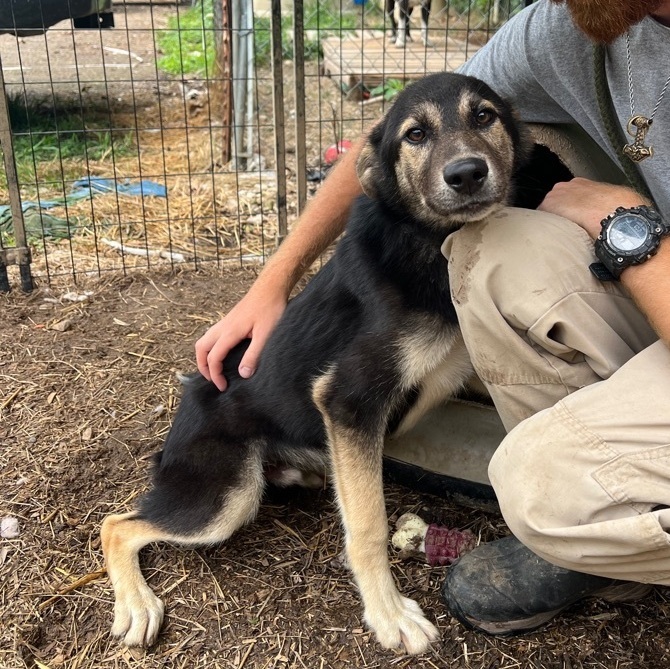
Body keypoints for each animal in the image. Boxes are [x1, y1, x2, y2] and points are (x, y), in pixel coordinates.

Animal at [101, 72, 532, 652]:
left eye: (484, 116)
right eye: (415, 134)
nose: (466, 173)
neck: (430, 241)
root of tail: (177, 425)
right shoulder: (347, 400)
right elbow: (369, 525)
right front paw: (388, 614)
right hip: (226, 498)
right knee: (116, 524)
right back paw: (138, 606)